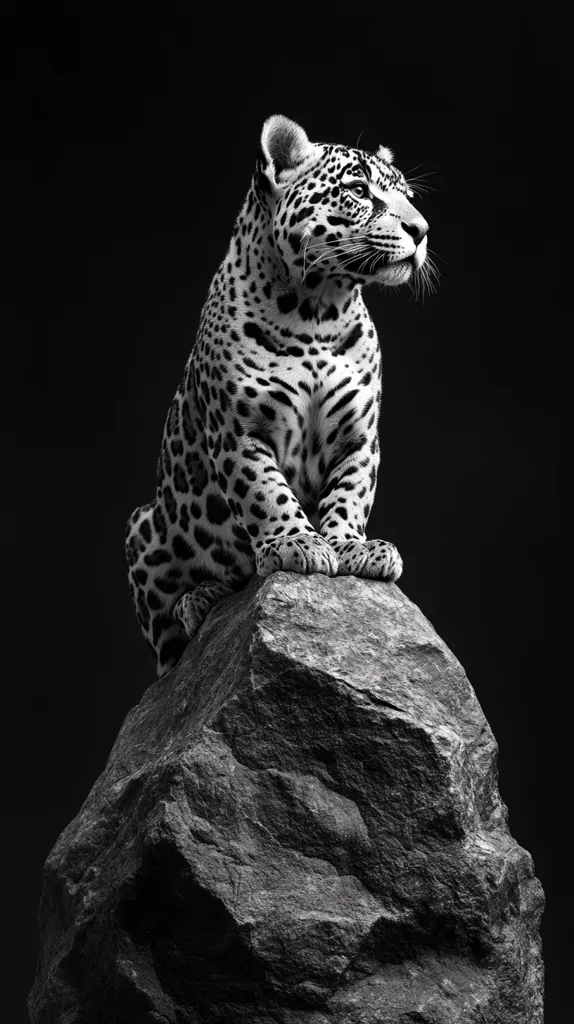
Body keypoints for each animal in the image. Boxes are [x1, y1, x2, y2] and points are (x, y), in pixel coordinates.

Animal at [125, 114, 433, 677]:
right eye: (360, 191)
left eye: (405, 195)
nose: (421, 230)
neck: (318, 310)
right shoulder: (240, 431)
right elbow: (264, 490)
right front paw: (297, 543)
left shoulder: (359, 437)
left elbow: (351, 492)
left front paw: (351, 547)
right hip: (143, 528)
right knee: (167, 643)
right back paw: (201, 601)